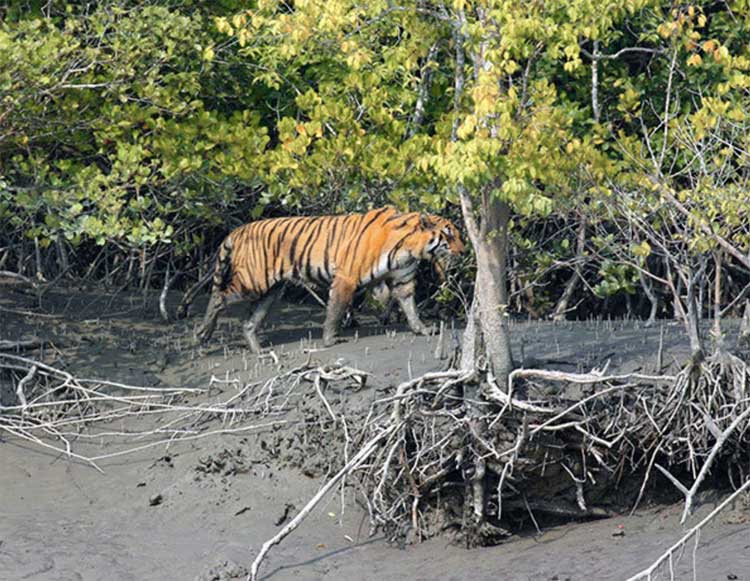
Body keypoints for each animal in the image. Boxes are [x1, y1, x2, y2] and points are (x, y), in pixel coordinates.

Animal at [191, 206, 465, 353]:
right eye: (449, 235)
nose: (463, 251)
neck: (410, 249)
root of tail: (239, 229)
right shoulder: (346, 277)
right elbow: (336, 308)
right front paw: (331, 339)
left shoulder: (403, 281)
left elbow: (410, 307)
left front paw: (422, 329)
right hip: (252, 282)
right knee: (219, 296)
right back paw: (203, 333)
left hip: (271, 291)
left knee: (249, 321)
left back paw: (258, 349)